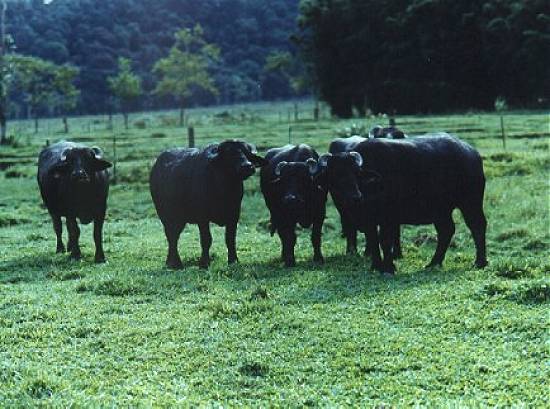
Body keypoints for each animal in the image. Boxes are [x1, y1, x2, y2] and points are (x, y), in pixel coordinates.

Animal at [149, 139, 267, 269]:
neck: (224, 189)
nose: (247, 166)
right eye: (229, 154)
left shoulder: (234, 215)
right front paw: (204, 263)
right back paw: (175, 263)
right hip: (165, 215)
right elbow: (206, 239)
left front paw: (233, 260)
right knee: (171, 236)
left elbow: (230, 238)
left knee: (174, 235)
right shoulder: (202, 217)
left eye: (247, 153)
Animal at [324, 133, 488, 274]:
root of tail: (472, 153)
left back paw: (480, 262)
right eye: (334, 176)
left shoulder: (388, 217)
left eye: (355, 174)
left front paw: (388, 268)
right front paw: (376, 265)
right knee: (446, 230)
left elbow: (384, 240)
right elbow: (372, 239)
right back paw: (434, 263)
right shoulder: (369, 218)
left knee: (477, 226)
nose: (354, 197)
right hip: (441, 210)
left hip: (471, 202)